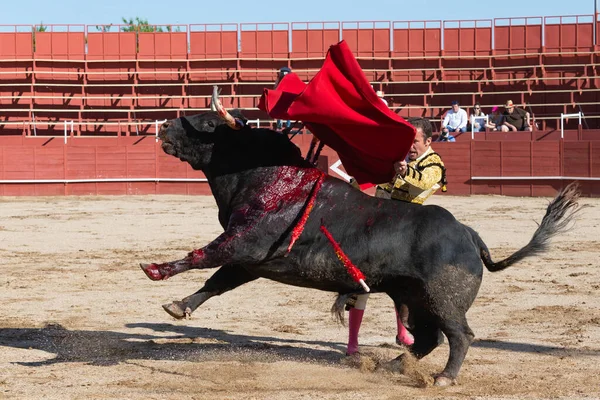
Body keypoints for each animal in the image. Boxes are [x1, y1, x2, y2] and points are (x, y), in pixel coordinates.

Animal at [141, 111, 580, 386]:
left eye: (208, 123)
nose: (164, 127)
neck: (267, 175)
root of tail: (468, 234)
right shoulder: (250, 261)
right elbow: (216, 282)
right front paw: (178, 306)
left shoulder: (246, 243)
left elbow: (203, 256)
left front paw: (156, 270)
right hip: (413, 298)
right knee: (426, 339)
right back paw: (393, 363)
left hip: (443, 299)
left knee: (460, 336)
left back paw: (442, 377)